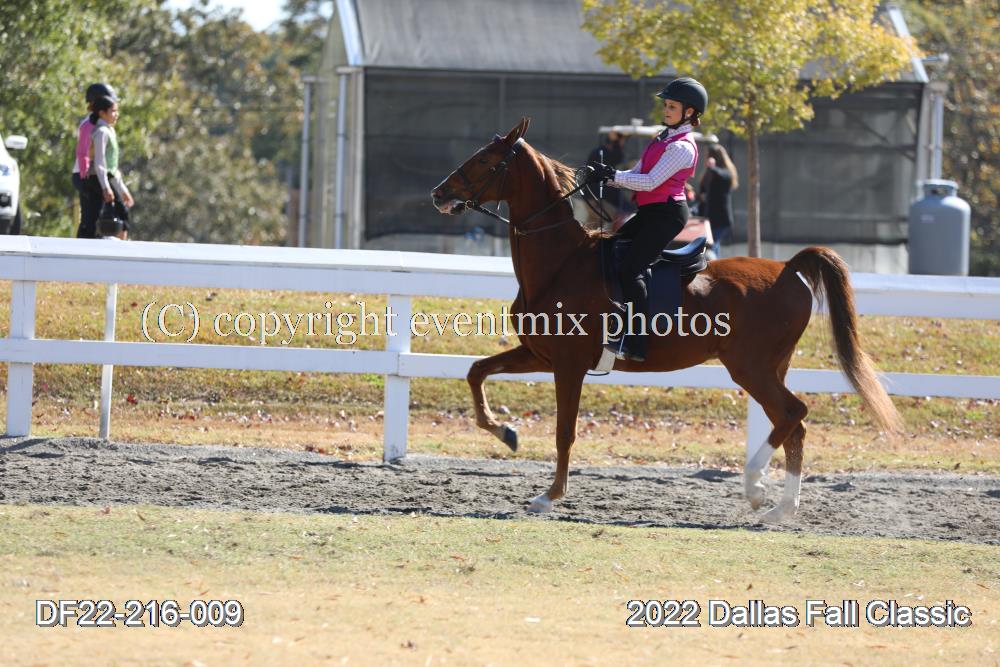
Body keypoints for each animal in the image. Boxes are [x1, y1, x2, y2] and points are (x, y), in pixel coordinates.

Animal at [430, 117, 901, 523]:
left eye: (485, 161)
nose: (438, 193)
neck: (560, 263)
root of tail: (788, 267)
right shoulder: (539, 355)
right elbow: (477, 372)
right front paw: (505, 432)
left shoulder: (568, 366)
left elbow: (565, 432)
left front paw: (549, 496)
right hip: (770, 367)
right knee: (793, 425)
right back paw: (777, 506)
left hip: (750, 367)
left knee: (793, 413)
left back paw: (758, 490)